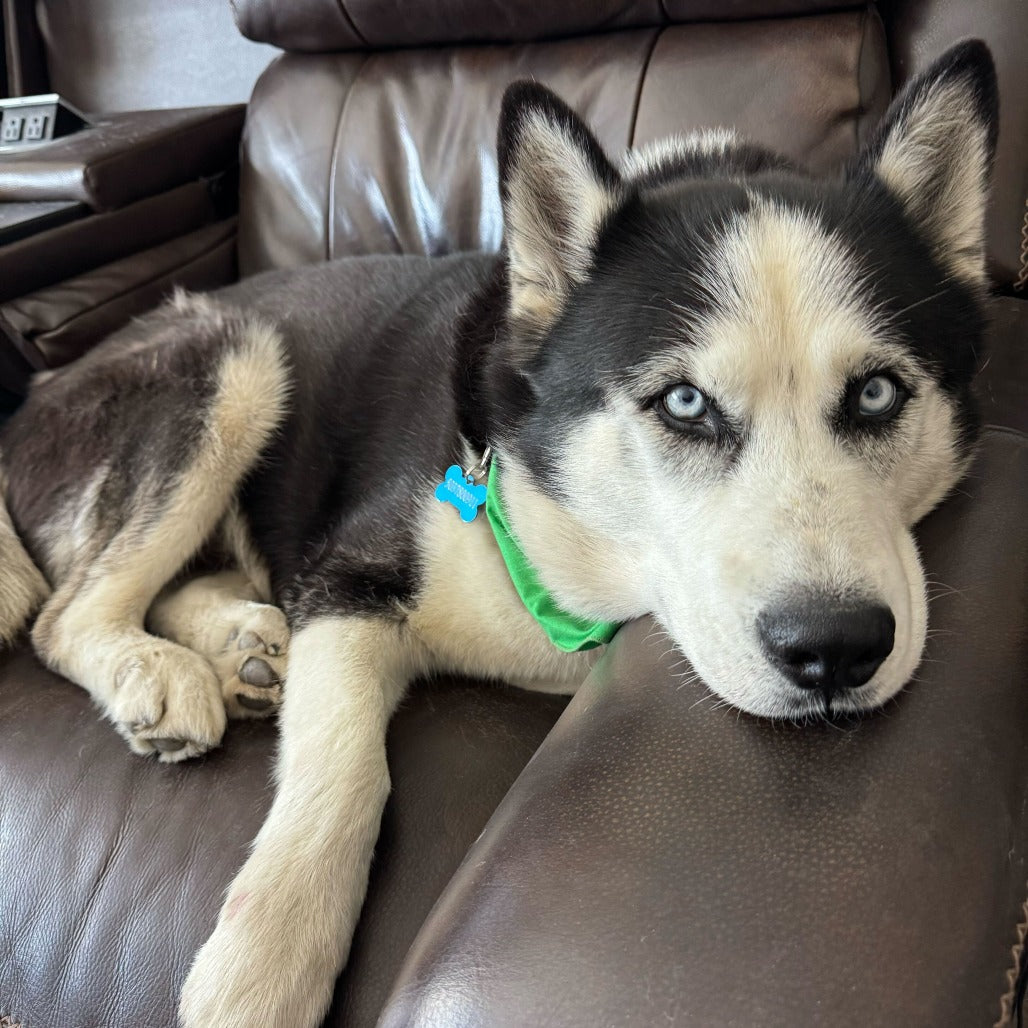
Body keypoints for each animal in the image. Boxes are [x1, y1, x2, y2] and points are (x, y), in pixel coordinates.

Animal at [0, 40, 997, 1028]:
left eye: (877, 393)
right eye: (684, 403)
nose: (837, 650)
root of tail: (36, 392)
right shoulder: (350, 575)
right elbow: (343, 768)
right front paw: (265, 960)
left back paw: (241, 644)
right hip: (235, 358)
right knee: (64, 614)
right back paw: (154, 671)